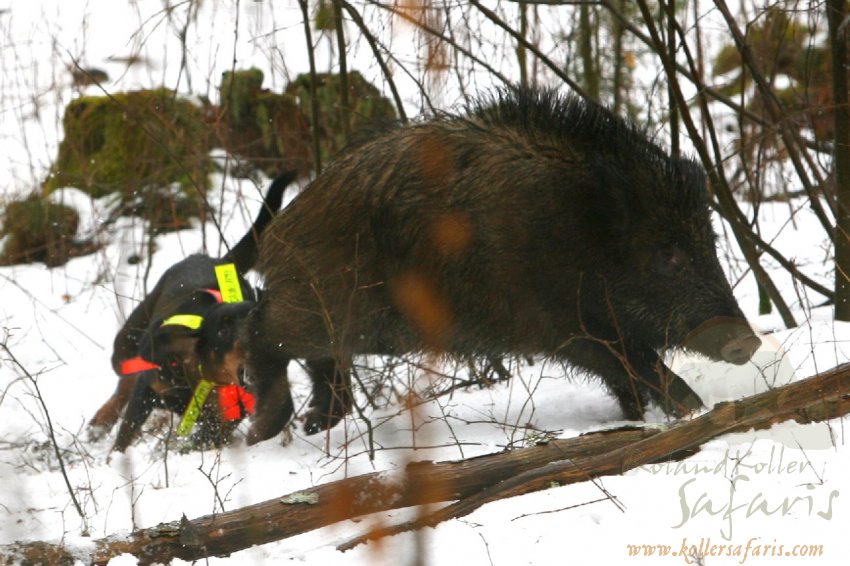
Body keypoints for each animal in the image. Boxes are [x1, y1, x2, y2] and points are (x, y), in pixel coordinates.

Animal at [90, 173, 294, 452]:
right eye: (224, 329)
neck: (202, 371)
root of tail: (220, 260)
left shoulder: (221, 421)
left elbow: (206, 437)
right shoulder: (147, 390)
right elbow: (126, 433)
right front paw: (118, 459)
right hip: (127, 341)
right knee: (124, 378)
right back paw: (101, 421)